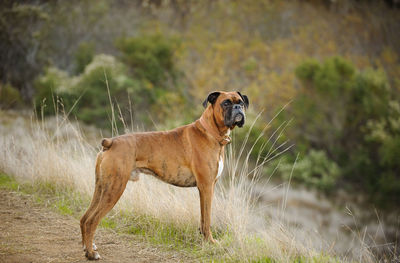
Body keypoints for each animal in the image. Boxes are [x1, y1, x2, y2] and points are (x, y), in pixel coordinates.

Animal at [79, 92, 248, 260]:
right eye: (226, 103)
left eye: (240, 102)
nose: (238, 108)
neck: (210, 132)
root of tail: (111, 142)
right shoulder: (206, 187)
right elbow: (206, 220)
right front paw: (210, 242)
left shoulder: (206, 188)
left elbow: (202, 219)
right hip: (114, 189)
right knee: (92, 221)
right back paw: (91, 253)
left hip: (101, 188)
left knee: (85, 218)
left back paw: (88, 246)